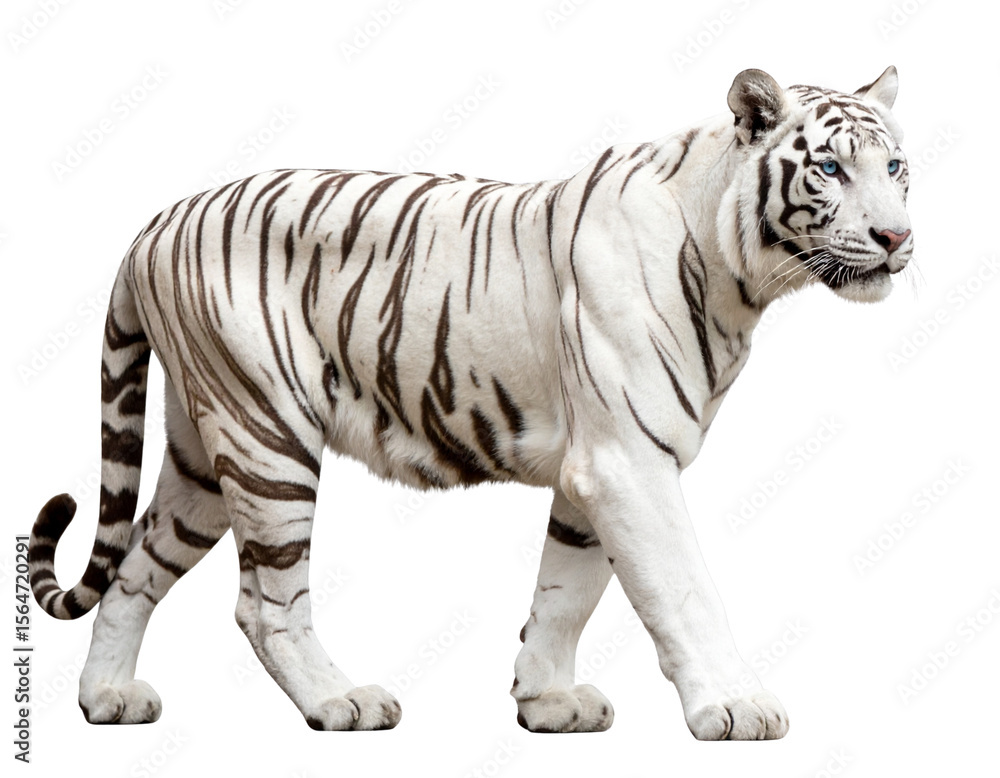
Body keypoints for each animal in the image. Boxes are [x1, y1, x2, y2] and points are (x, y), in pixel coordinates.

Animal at [28, 66, 912, 740]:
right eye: (830, 170)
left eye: (896, 168)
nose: (899, 237)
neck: (740, 273)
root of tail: (153, 223)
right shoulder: (628, 462)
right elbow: (681, 587)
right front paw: (736, 706)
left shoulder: (594, 467)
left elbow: (567, 588)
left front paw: (546, 700)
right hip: (267, 437)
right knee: (263, 605)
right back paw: (341, 701)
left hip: (203, 455)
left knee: (135, 566)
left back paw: (106, 698)